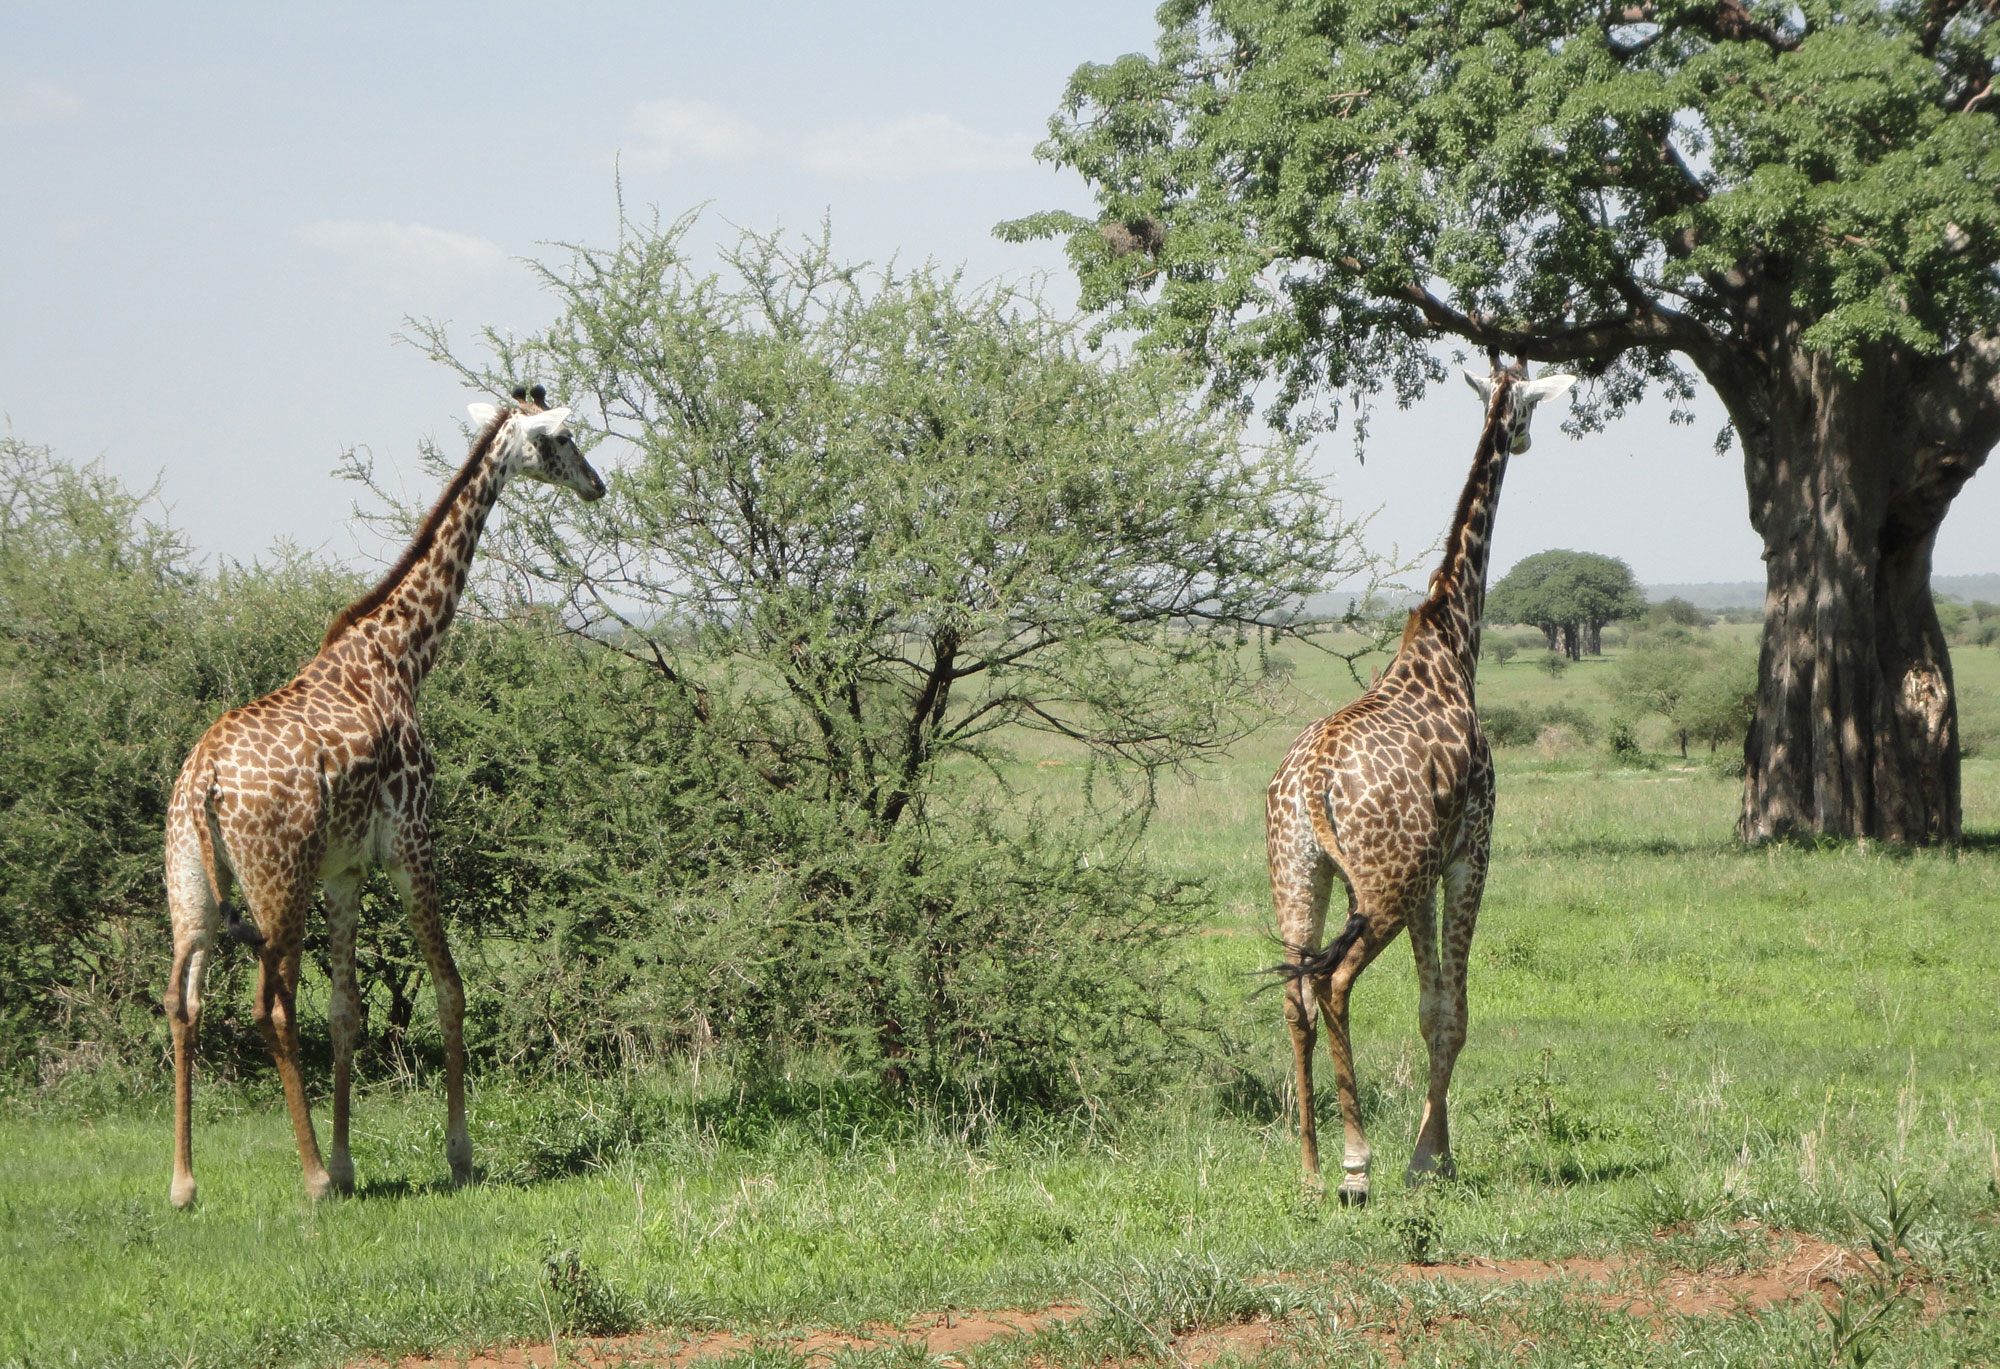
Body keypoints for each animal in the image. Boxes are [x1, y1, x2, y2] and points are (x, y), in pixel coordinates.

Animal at [161, 387, 604, 1207]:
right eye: (562, 437)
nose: (596, 483)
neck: (402, 654)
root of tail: (203, 779)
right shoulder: (410, 842)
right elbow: (451, 988)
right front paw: (458, 1156)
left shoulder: (345, 869)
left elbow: (345, 1013)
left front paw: (348, 1161)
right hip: (278, 881)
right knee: (271, 1004)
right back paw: (307, 1179)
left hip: (190, 885)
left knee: (184, 1002)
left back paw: (184, 1183)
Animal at [1265, 360, 1575, 1204]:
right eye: (1532, 404)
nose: (1524, 437)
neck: (1451, 646)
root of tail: (1311, 782)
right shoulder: (1470, 848)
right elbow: (1452, 1010)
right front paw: (1430, 1157)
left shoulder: (1429, 870)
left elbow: (1430, 1003)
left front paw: (1433, 1150)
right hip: (1384, 883)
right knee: (1334, 982)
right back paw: (1354, 1165)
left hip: (1302, 874)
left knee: (1296, 992)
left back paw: (1308, 1167)